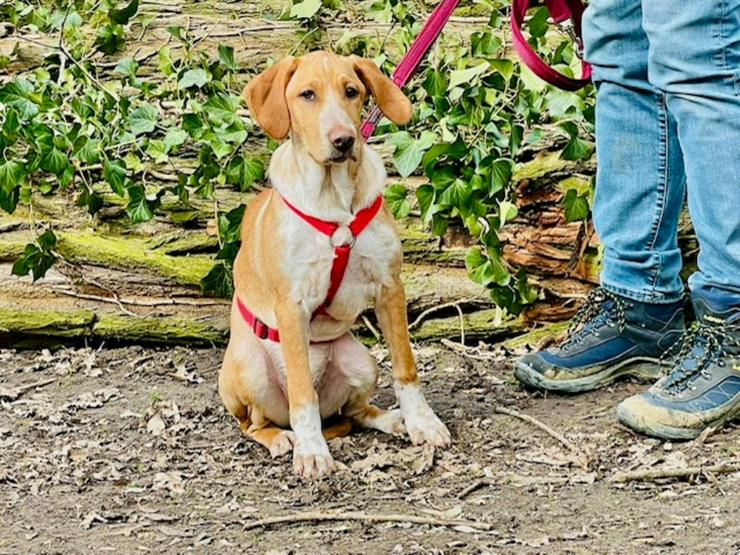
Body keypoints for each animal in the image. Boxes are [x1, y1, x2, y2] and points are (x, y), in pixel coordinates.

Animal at [220, 50, 450, 480]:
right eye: (307, 94)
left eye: (352, 92)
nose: (344, 140)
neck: (334, 200)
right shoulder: (291, 306)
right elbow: (301, 393)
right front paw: (312, 451)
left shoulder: (390, 288)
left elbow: (405, 367)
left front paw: (422, 423)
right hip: (249, 371)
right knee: (255, 424)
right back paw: (282, 439)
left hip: (361, 362)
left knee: (354, 413)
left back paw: (389, 419)